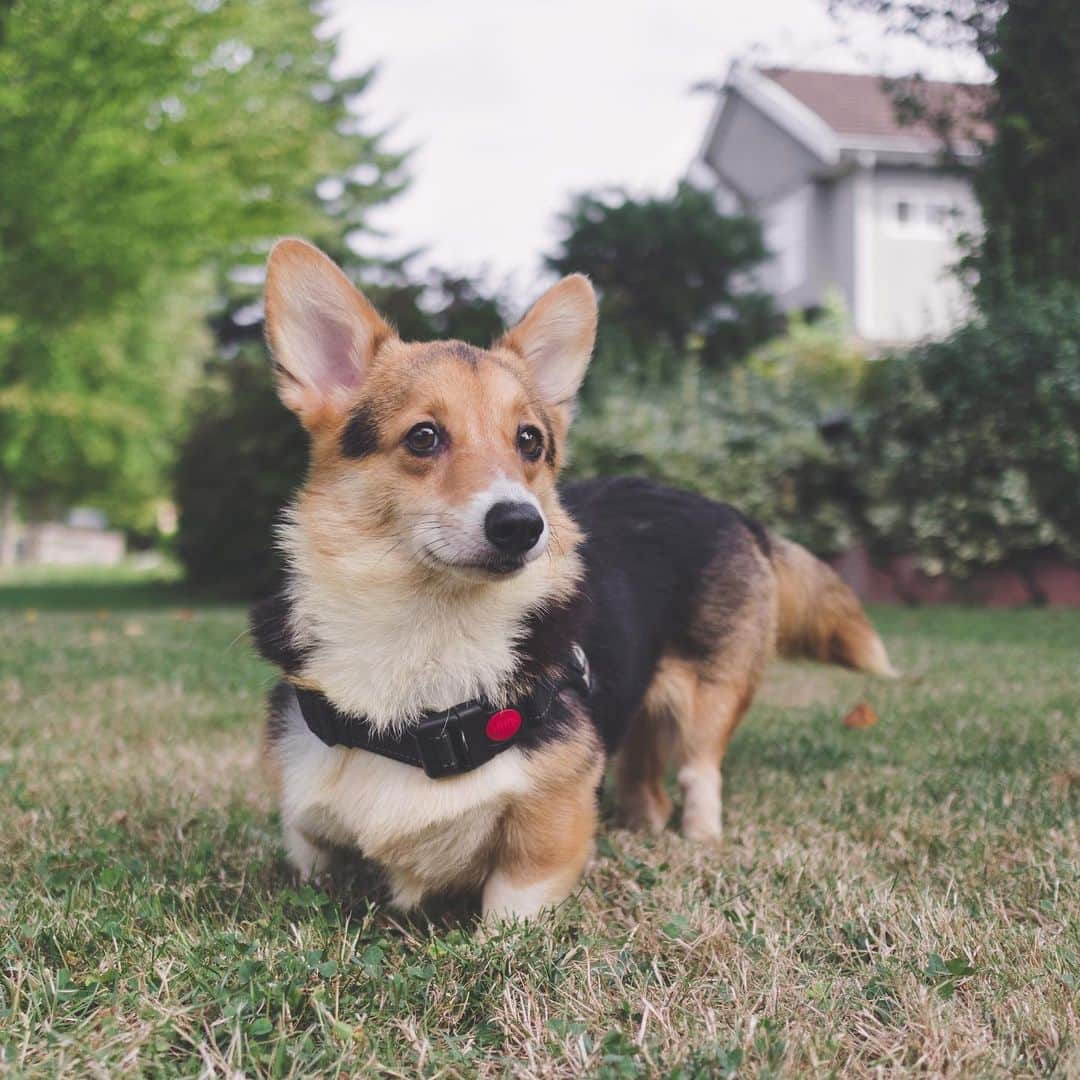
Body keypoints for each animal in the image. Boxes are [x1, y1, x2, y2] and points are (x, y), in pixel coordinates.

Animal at [250, 236, 894, 920]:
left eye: (530, 440)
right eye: (423, 436)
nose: (520, 525)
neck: (430, 633)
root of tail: (730, 509)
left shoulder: (547, 831)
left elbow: (509, 904)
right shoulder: (305, 821)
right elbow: (311, 854)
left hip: (711, 698)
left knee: (699, 773)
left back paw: (698, 840)